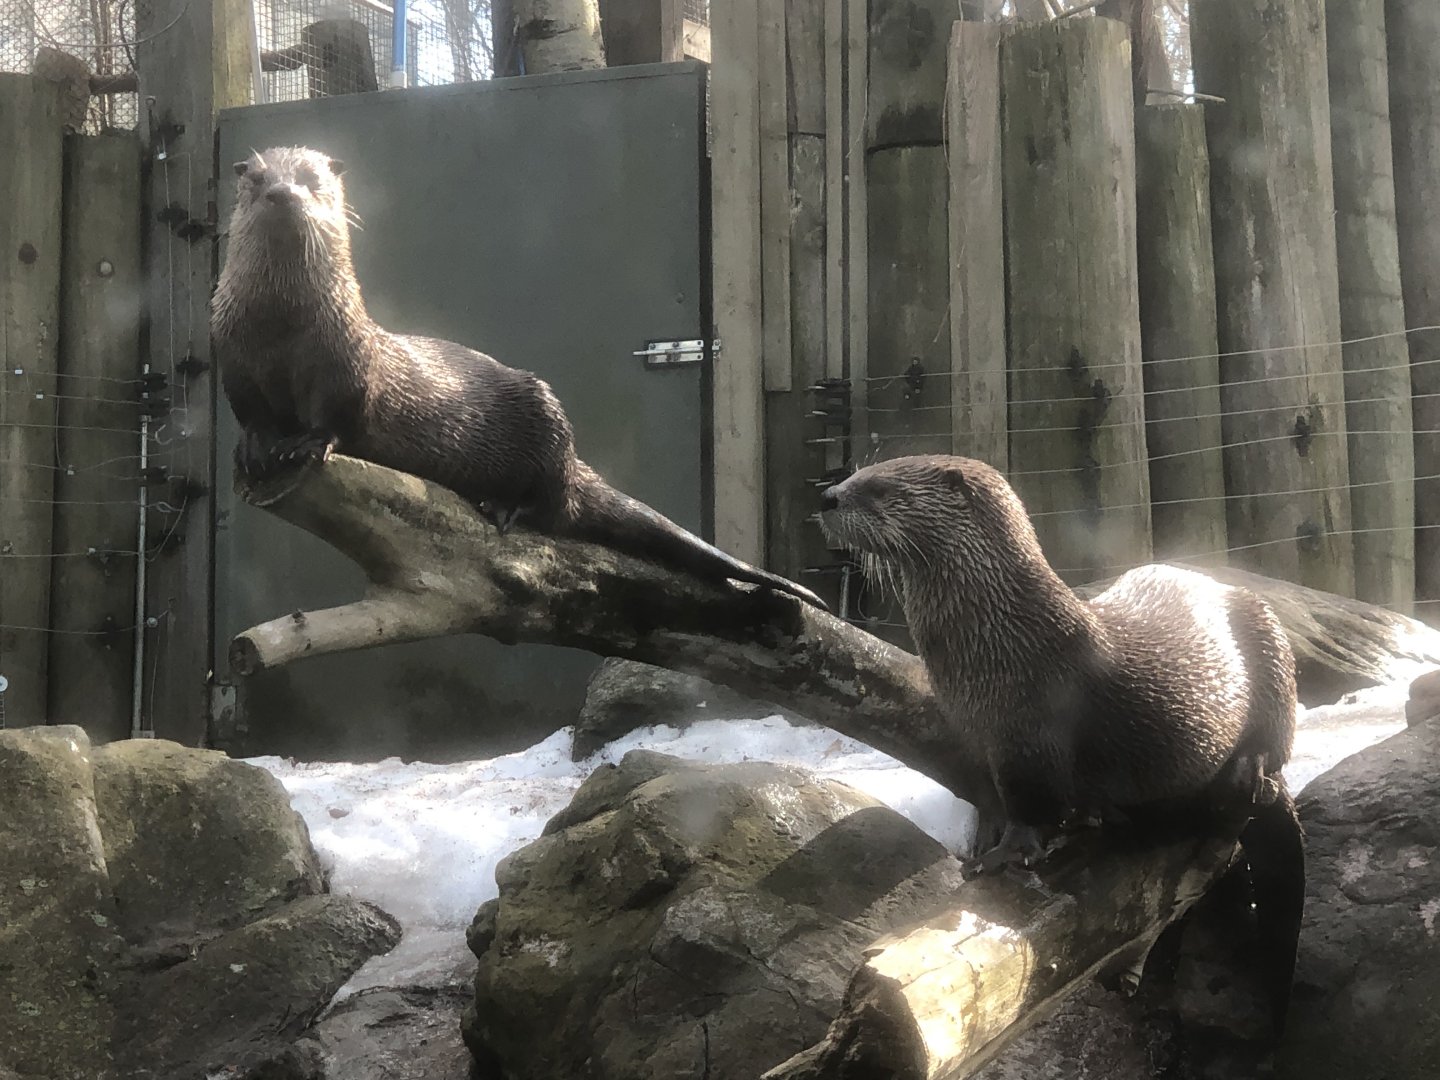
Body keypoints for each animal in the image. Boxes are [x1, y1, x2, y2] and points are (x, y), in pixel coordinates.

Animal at [211, 146, 824, 610]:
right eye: (258, 179)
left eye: (312, 181)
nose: (283, 193)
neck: (283, 329)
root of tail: (575, 461)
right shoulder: (233, 357)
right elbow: (251, 412)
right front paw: (257, 447)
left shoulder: (344, 360)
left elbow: (336, 415)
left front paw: (305, 444)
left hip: (545, 419)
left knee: (553, 509)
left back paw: (499, 506)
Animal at [820, 454, 1303, 1033]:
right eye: (857, 473)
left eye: (880, 487)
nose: (827, 497)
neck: (998, 645)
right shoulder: (981, 737)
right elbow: (997, 796)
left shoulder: (1031, 727)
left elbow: (1031, 803)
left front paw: (1004, 855)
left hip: (1269, 640)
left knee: (1278, 743)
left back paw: (1247, 768)